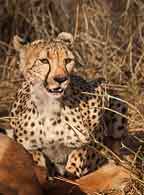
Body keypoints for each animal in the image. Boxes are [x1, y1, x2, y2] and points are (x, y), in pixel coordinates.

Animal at [9, 32, 127, 178]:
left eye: (67, 60)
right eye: (44, 61)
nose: (61, 79)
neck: (48, 104)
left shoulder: (98, 93)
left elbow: (81, 149)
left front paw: (72, 169)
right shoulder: (26, 144)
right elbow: (34, 155)